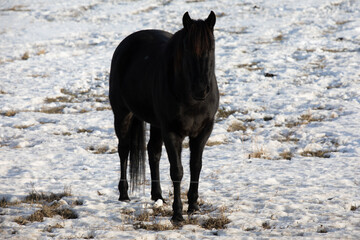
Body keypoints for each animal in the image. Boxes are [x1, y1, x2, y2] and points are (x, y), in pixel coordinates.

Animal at [108, 10, 218, 221]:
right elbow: (177, 171)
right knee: (124, 149)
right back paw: (124, 194)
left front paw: (193, 206)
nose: (201, 89)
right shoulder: (172, 132)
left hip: (156, 124)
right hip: (123, 114)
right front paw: (177, 214)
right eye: (187, 49)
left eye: (212, 46)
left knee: (153, 152)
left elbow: (195, 166)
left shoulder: (203, 131)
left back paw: (157, 196)